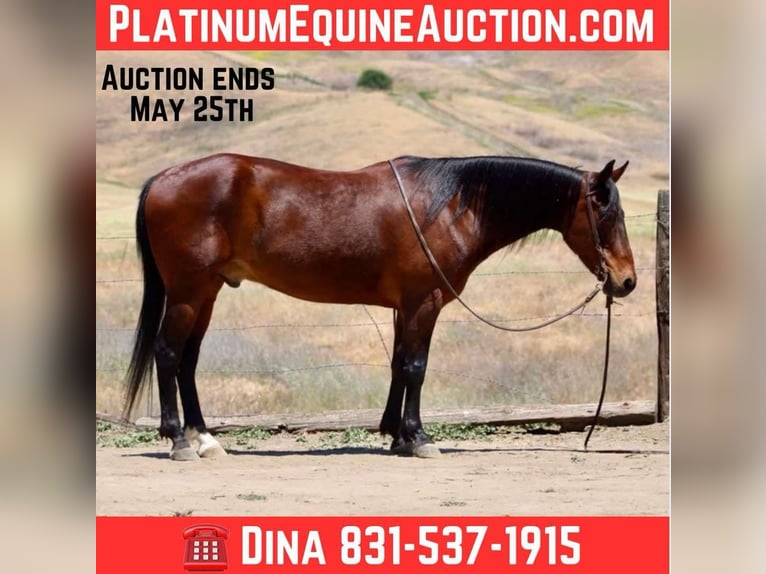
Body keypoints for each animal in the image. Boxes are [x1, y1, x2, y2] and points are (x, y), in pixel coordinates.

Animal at [124, 154, 636, 460]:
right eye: (607, 214)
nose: (627, 281)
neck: (448, 206)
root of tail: (161, 179)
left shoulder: (404, 307)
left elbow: (398, 365)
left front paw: (395, 434)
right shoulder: (424, 302)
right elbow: (415, 367)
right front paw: (418, 437)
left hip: (206, 293)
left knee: (187, 362)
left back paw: (205, 438)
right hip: (188, 292)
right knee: (168, 354)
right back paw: (178, 439)